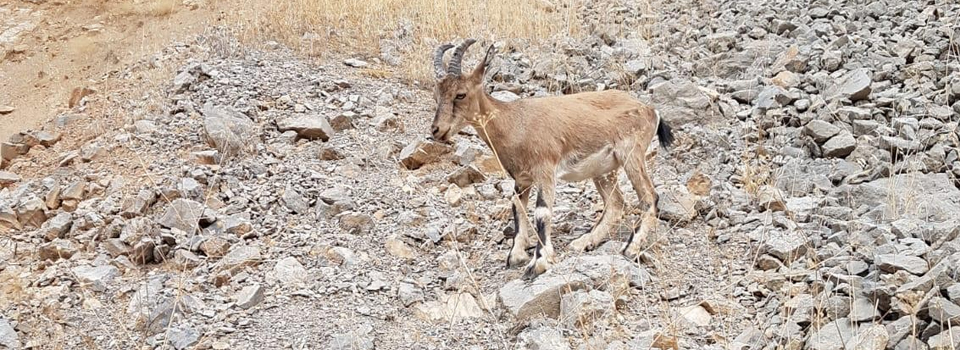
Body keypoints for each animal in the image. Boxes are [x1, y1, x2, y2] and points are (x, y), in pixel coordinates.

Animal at [432, 39, 680, 278]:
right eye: (438, 94)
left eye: (461, 94)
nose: (436, 130)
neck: (515, 123)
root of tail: (651, 111)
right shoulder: (522, 179)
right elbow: (518, 208)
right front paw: (516, 256)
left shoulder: (545, 171)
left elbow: (541, 212)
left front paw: (538, 263)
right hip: (604, 170)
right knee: (616, 203)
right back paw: (583, 242)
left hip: (631, 155)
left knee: (649, 197)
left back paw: (630, 248)